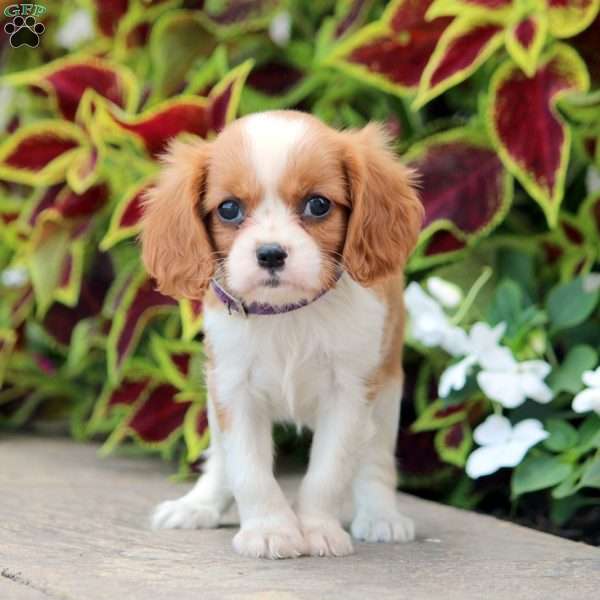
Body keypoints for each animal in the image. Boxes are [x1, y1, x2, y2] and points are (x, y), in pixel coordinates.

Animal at [141, 109, 424, 556]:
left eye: (318, 204)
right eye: (229, 209)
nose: (271, 253)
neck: (287, 314)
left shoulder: (350, 392)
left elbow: (329, 471)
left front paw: (318, 529)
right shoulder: (233, 390)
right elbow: (248, 470)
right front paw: (270, 530)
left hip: (387, 389)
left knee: (375, 461)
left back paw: (381, 516)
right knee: (220, 461)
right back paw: (199, 505)